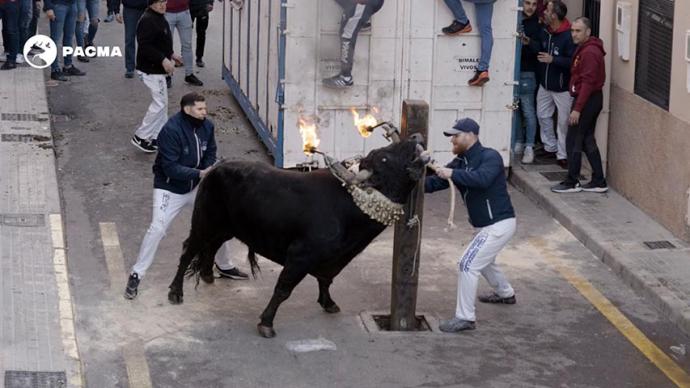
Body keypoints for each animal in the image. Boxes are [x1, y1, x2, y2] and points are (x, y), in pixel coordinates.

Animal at [168, 139, 424, 336]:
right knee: (188, 250)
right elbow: (283, 288)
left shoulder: (332, 259)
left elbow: (326, 280)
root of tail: (214, 169)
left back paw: (207, 275)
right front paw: (266, 323)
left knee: (211, 247)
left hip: (225, 228)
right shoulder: (300, 256)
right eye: (384, 158)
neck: (352, 202)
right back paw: (175, 292)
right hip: (204, 222)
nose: (416, 138)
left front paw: (329, 303)